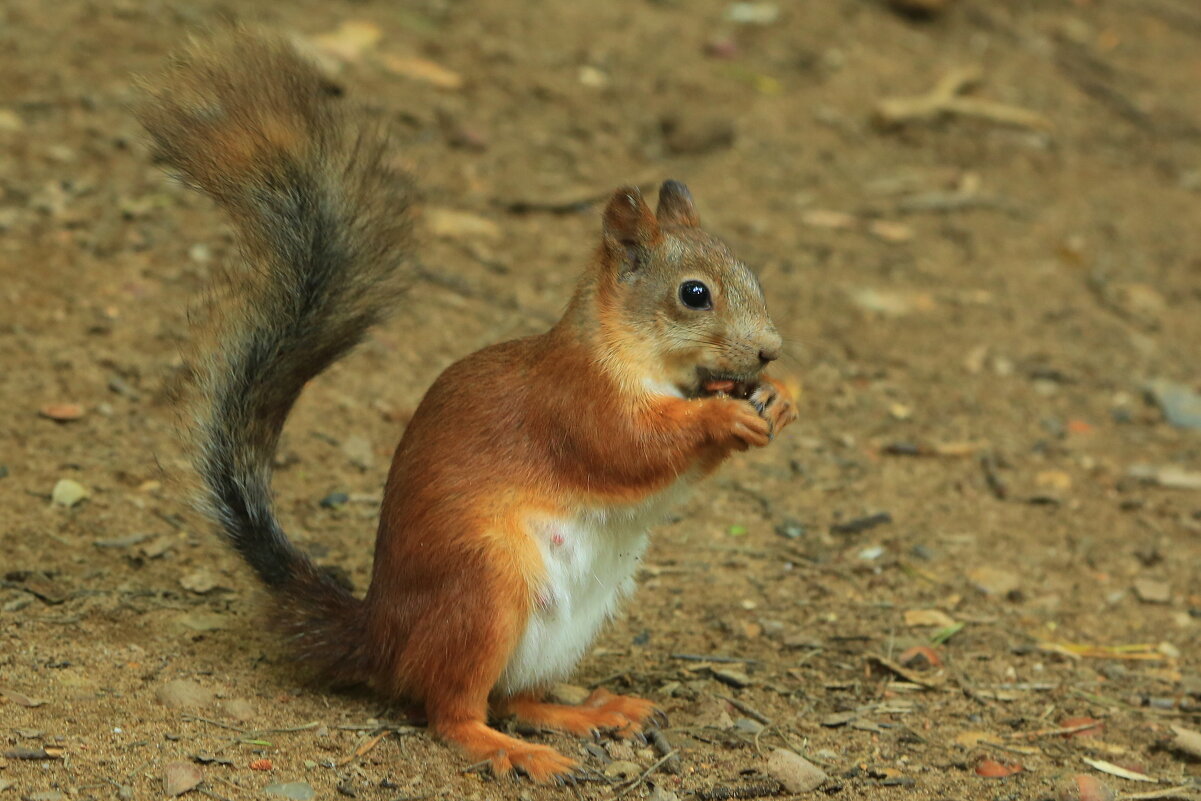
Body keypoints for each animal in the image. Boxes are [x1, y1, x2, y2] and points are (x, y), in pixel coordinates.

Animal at [138, 32, 797, 782]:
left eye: (750, 273)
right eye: (693, 294)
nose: (770, 351)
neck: (637, 358)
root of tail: (380, 638)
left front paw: (779, 400)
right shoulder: (571, 404)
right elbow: (629, 447)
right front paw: (721, 416)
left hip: (562, 625)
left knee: (514, 696)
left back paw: (592, 712)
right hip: (483, 593)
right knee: (453, 711)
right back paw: (515, 751)